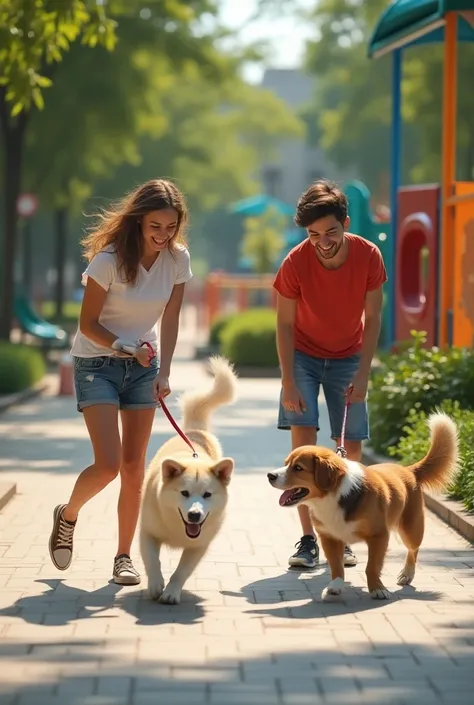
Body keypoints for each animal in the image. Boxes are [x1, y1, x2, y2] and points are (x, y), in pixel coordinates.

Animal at [140, 354, 237, 604]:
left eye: (207, 494)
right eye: (184, 493)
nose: (194, 515)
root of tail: (194, 432)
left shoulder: (199, 544)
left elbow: (182, 571)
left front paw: (171, 592)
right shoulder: (147, 531)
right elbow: (152, 560)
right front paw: (156, 585)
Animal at [266, 412, 456, 600]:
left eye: (298, 468)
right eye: (286, 463)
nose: (270, 475)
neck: (333, 496)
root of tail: (409, 470)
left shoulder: (379, 536)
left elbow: (372, 566)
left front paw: (377, 589)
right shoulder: (329, 537)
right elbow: (336, 565)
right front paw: (336, 585)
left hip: (411, 529)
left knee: (413, 550)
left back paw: (407, 574)